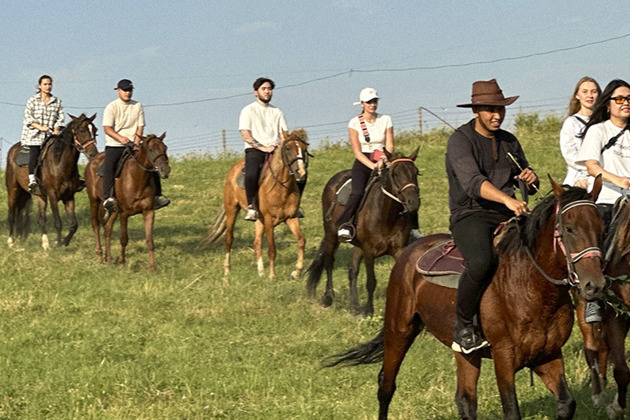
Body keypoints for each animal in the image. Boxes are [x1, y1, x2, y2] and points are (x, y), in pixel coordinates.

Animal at [5, 113, 99, 248]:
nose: (93, 154)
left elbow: (73, 224)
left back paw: (45, 243)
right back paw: (11, 241)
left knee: (41, 218)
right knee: (11, 214)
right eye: (81, 130)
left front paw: (64, 241)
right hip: (13, 189)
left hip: (39, 195)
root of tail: (13, 150)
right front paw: (58, 243)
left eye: (95, 131)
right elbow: (58, 222)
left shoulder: (69, 196)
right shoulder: (53, 195)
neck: (59, 163)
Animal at [86, 134, 172, 272]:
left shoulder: (148, 212)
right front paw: (122, 264)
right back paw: (99, 256)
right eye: (151, 149)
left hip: (113, 210)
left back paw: (109, 259)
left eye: (165, 148)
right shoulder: (124, 214)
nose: (165, 170)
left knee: (107, 229)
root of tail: (91, 162)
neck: (136, 178)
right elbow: (124, 239)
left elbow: (149, 241)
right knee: (96, 225)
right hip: (94, 201)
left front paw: (152, 268)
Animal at [204, 130, 310, 280]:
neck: (281, 189)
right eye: (288, 148)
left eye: (304, 149)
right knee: (229, 238)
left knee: (257, 242)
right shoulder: (269, 219)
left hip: (258, 220)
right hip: (232, 210)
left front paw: (296, 272)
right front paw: (272, 276)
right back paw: (227, 270)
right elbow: (272, 249)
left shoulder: (291, 218)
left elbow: (301, 241)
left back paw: (260, 271)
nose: (301, 173)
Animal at [308, 148, 422, 316]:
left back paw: (355, 306)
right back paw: (328, 297)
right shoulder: (369, 250)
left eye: (416, 172)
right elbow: (371, 281)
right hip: (331, 236)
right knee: (329, 262)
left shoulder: (399, 250)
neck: (386, 215)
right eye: (395, 174)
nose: (413, 202)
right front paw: (369, 311)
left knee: (352, 269)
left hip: (357, 245)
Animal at [326, 177, 608, 420]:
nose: (594, 285)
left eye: (601, 228)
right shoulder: (504, 359)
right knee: (386, 385)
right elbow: (511, 411)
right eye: (569, 228)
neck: (530, 286)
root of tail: (409, 251)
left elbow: (566, 403)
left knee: (465, 400)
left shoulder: (548, 356)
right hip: (398, 330)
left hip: (463, 351)